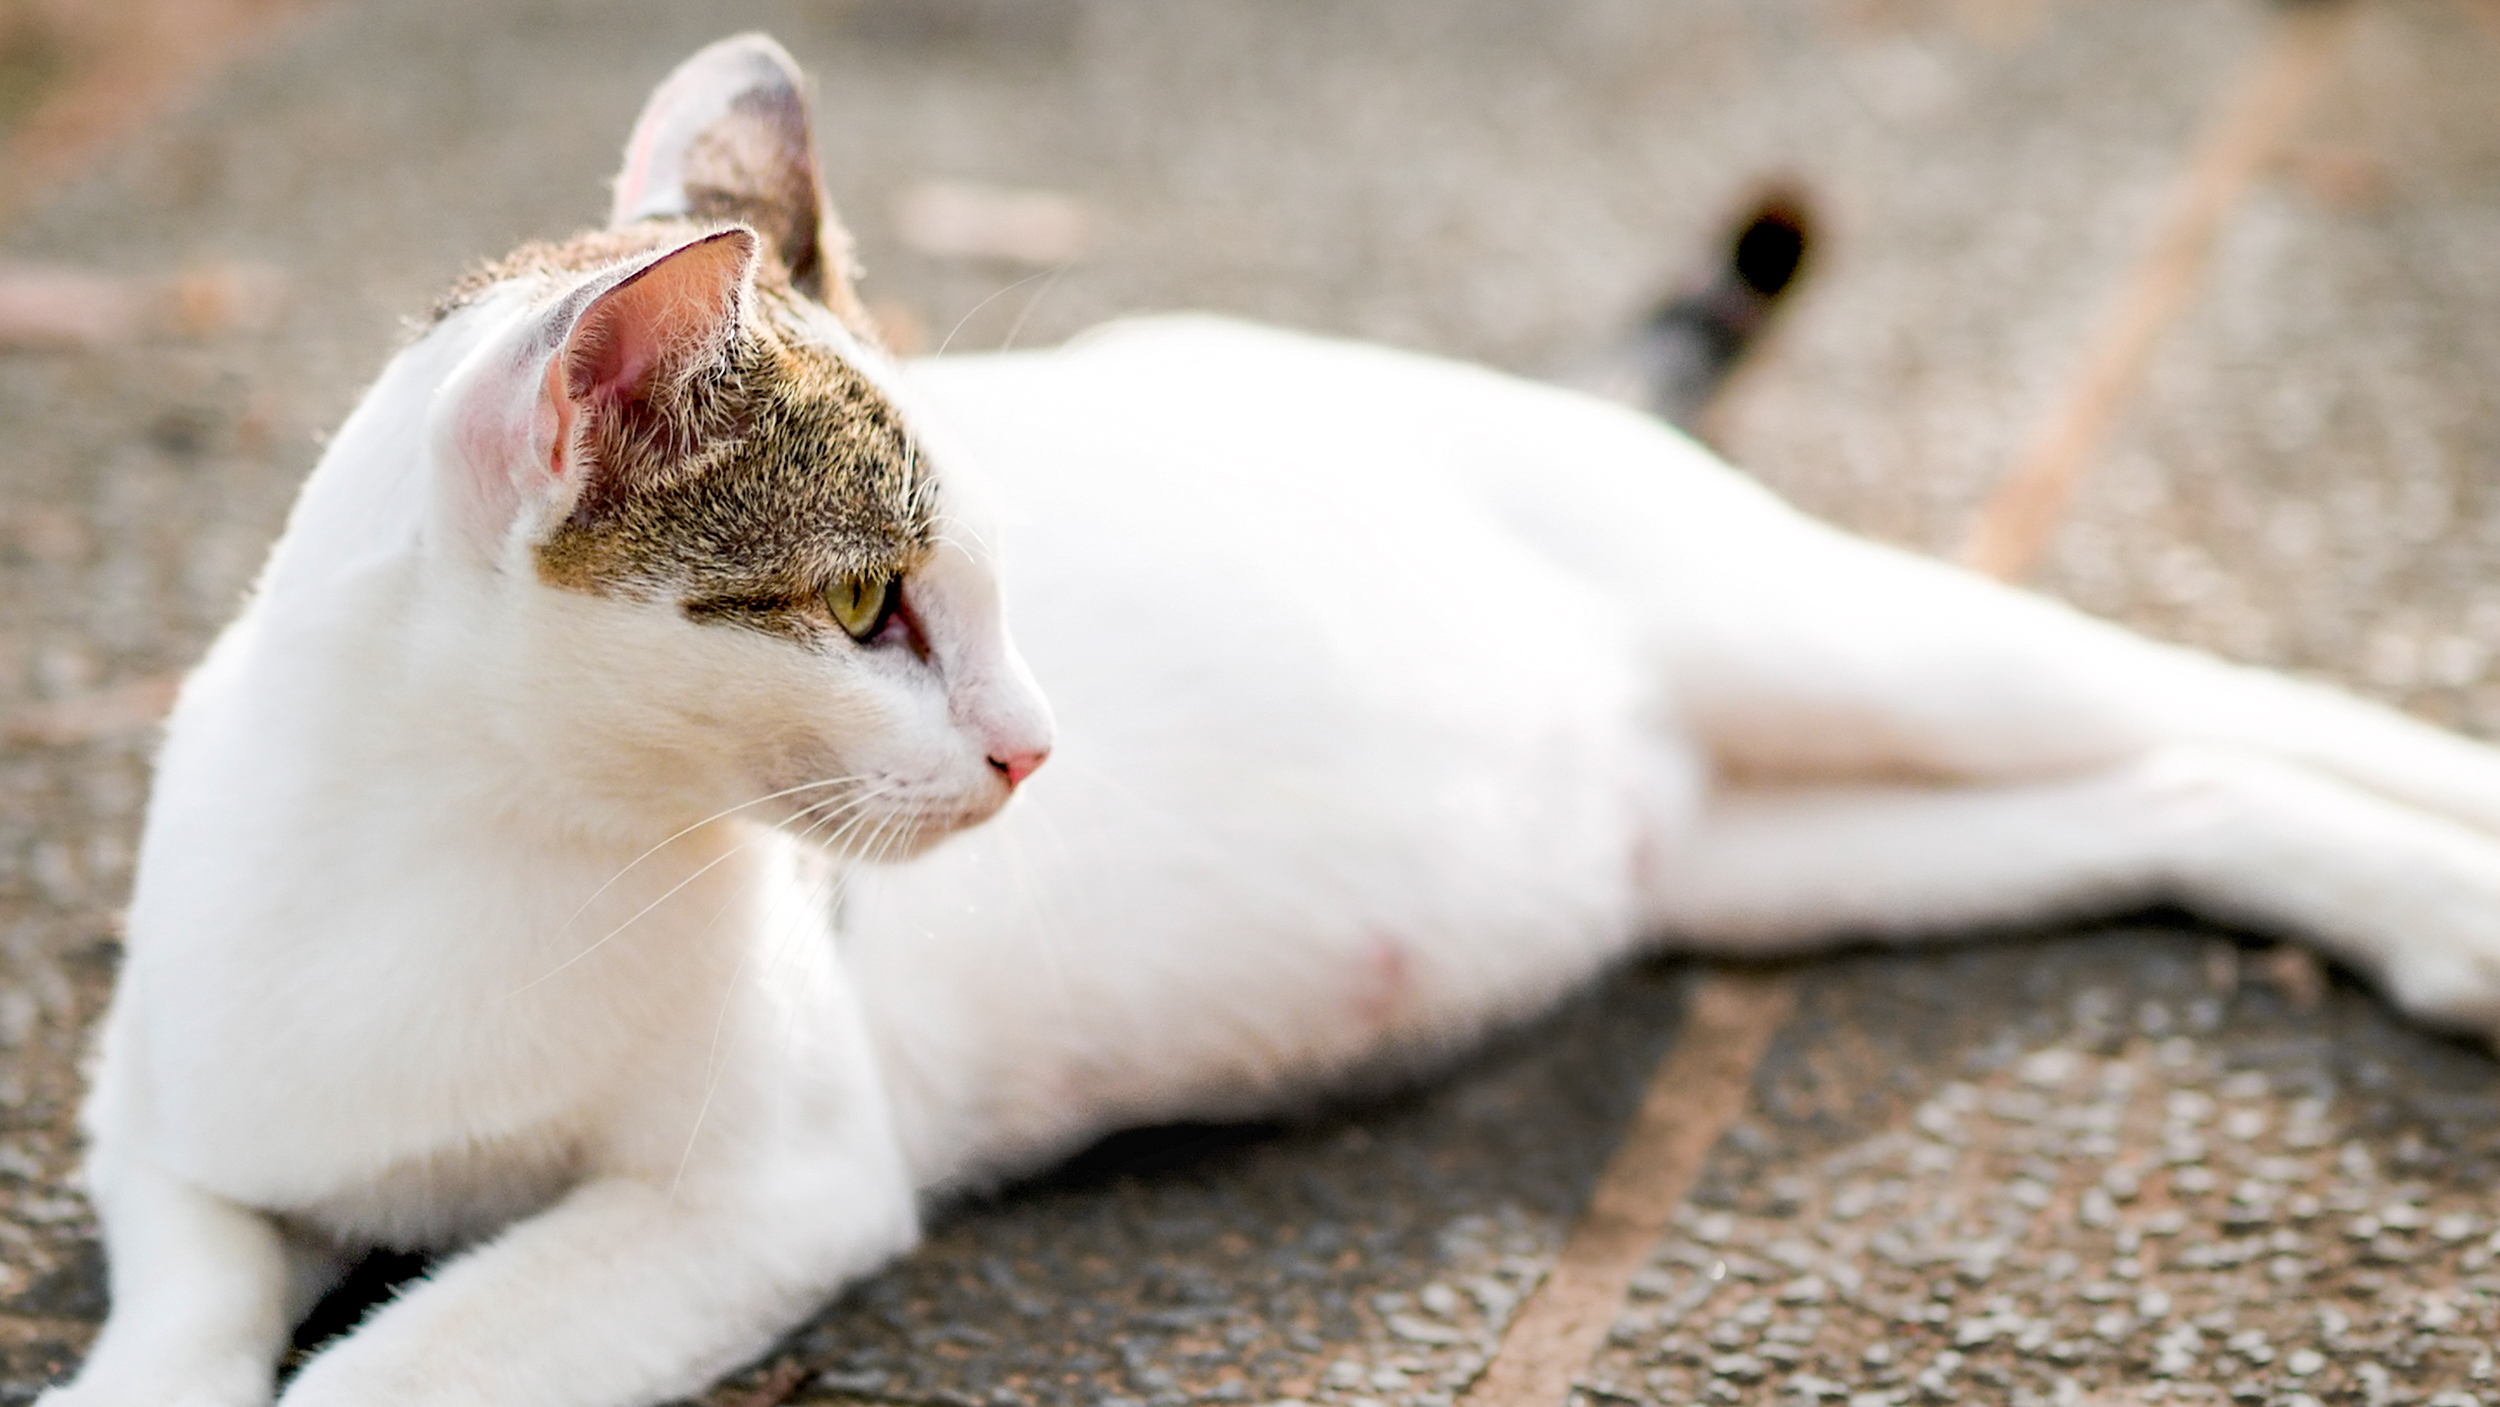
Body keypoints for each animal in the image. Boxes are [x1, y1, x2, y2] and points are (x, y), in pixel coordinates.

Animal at [39, 30, 2500, 1407]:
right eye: (863, 608)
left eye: (989, 594)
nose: (1037, 747)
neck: (477, 851)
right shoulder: (152, 1120)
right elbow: (191, 1296)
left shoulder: (764, 1192)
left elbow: (406, 1369)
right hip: (1762, 853)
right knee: (2170, 789)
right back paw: (2423, 917)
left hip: (1823, 640)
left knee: (2200, 689)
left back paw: (2461, 870)